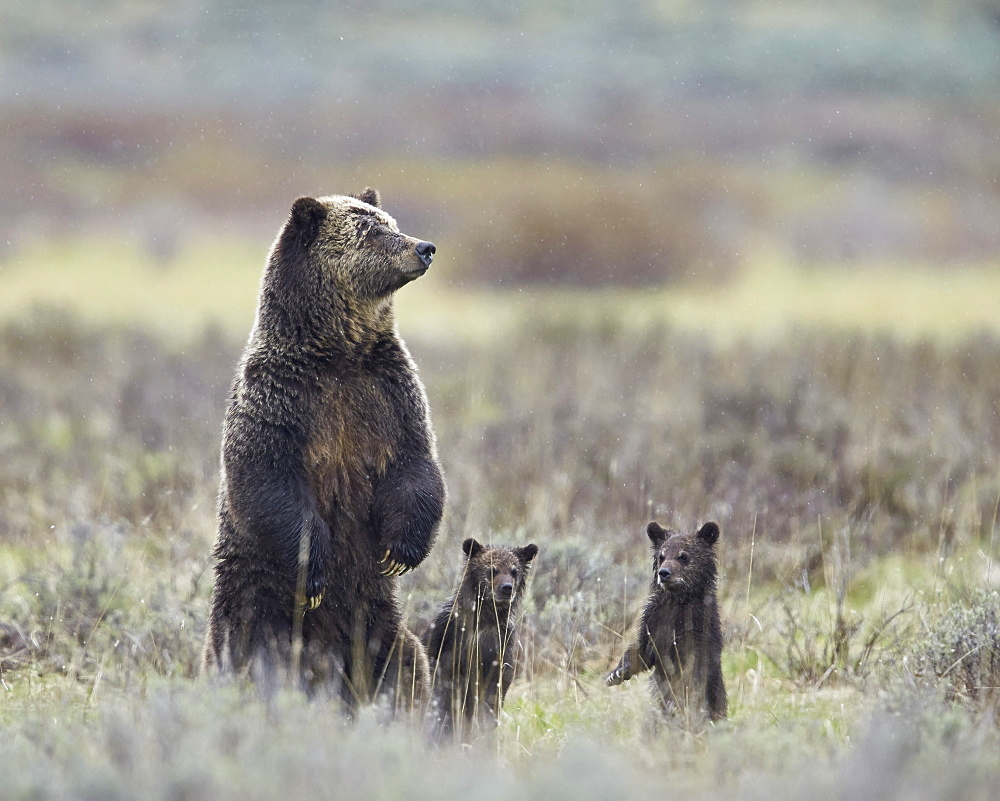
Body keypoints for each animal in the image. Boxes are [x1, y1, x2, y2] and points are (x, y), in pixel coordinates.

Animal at [203, 189, 446, 712]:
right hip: (251, 607)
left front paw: (400, 551)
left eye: (390, 220)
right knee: (248, 658)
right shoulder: (282, 399)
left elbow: (416, 464)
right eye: (370, 230)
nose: (425, 247)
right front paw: (312, 575)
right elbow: (268, 481)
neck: (338, 353)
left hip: (380, 622)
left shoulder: (388, 391)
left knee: (405, 663)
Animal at [422, 536, 540, 736]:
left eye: (514, 571)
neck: (484, 620)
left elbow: (495, 690)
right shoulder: (448, 643)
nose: (506, 588)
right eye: (492, 569)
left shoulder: (501, 646)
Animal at [608, 520, 728, 724]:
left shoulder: (696, 628)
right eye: (661, 556)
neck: (677, 601)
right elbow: (642, 650)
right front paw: (616, 673)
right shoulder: (653, 621)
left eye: (684, 556)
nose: (664, 573)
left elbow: (692, 667)